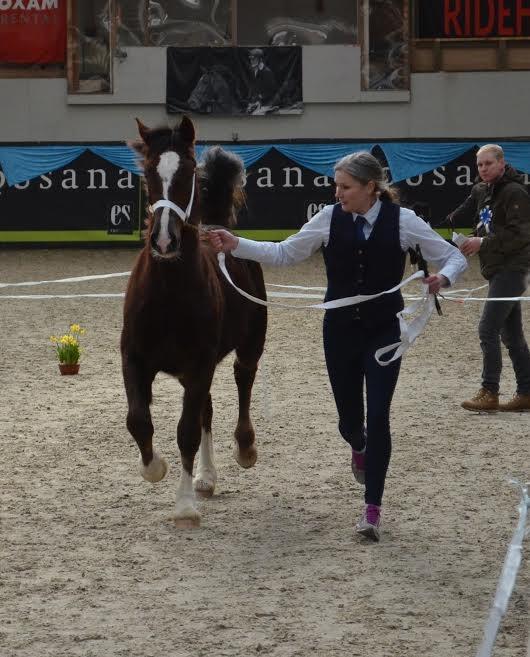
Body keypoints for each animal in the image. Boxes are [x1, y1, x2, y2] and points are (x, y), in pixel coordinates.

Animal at [121, 116, 266, 528]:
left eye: (187, 172)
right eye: (149, 172)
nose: (164, 241)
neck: (169, 292)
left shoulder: (201, 363)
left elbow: (185, 431)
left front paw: (184, 506)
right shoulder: (134, 359)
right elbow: (138, 420)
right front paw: (155, 468)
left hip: (249, 347)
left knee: (243, 382)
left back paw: (243, 450)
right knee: (207, 410)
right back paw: (206, 477)